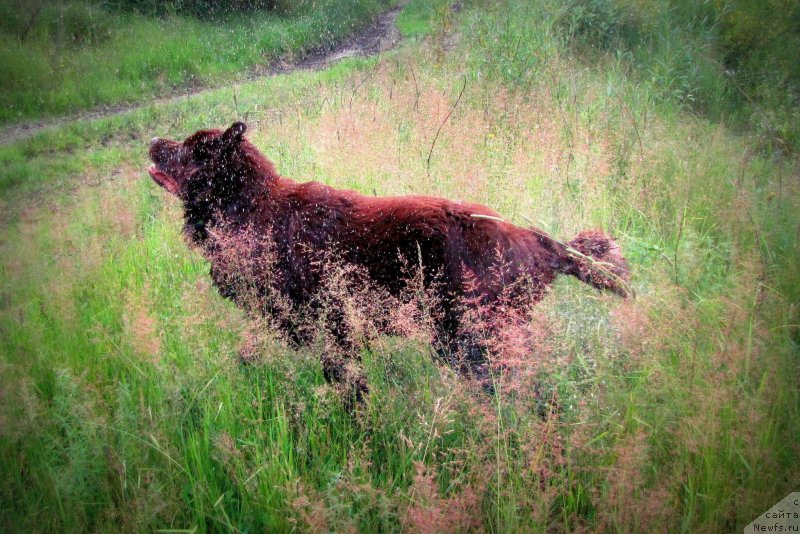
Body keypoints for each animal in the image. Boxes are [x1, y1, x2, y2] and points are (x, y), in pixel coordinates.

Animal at [147, 122, 628, 402]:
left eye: (192, 149)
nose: (152, 141)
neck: (251, 207)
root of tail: (540, 242)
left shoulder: (331, 330)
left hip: (474, 342)